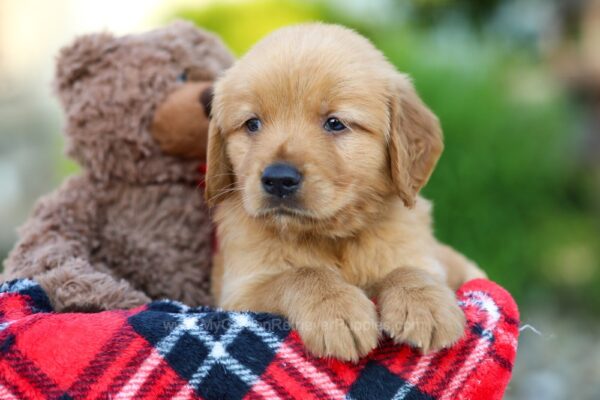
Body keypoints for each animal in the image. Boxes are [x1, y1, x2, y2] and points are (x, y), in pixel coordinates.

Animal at [206, 25, 488, 362]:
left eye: (335, 123)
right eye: (252, 124)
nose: (278, 179)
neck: (333, 236)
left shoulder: (417, 253)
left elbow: (408, 269)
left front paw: (423, 305)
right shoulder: (240, 291)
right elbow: (300, 273)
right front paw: (336, 310)